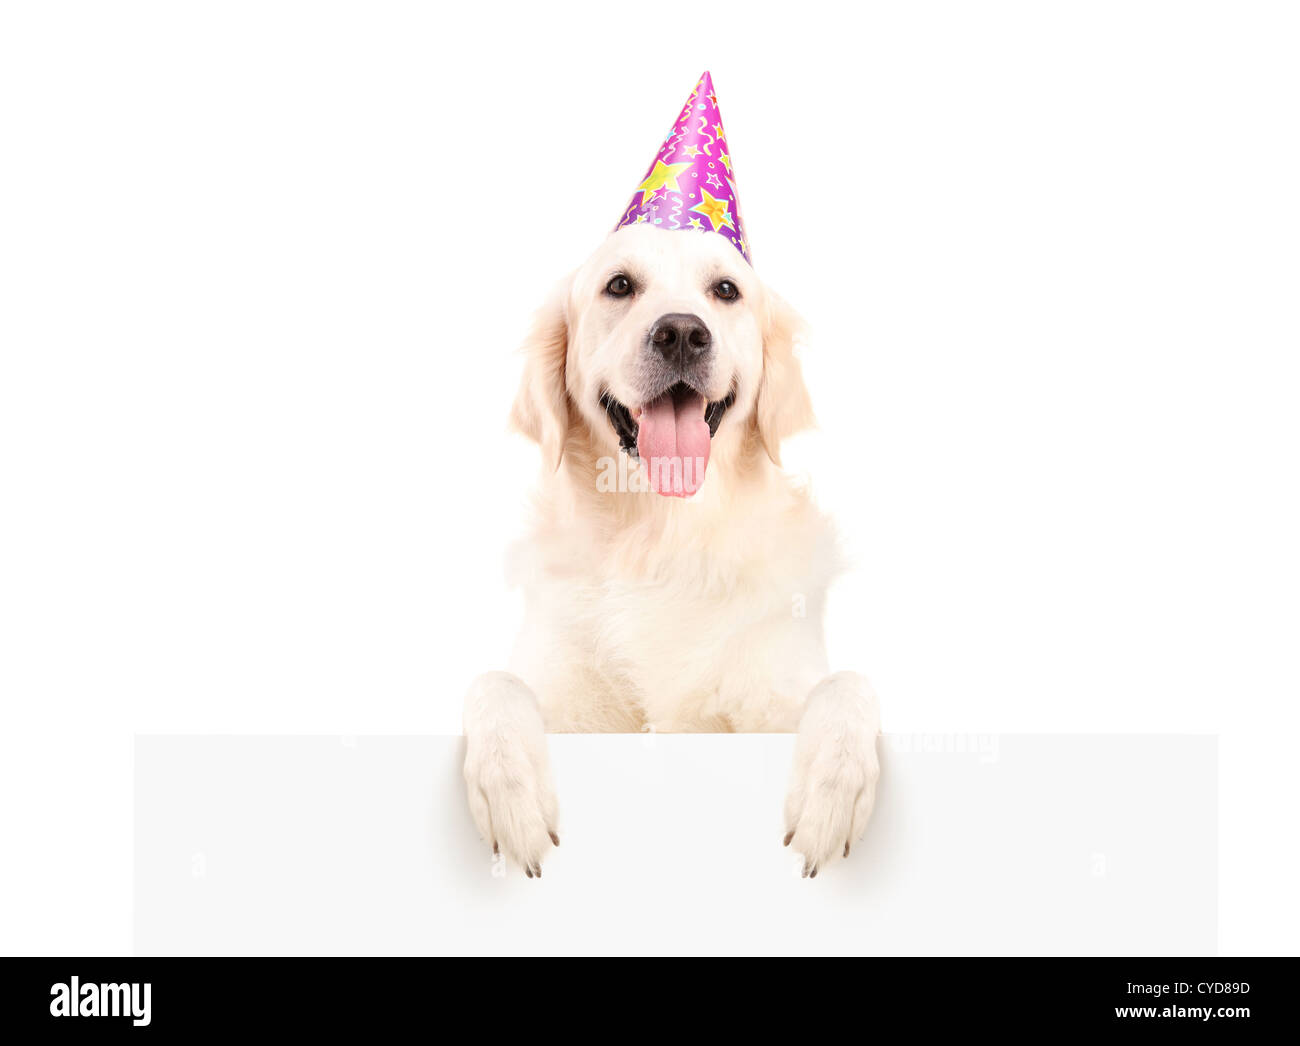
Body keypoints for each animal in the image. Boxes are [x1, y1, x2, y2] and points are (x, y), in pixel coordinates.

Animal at [462, 224, 878, 878]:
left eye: (726, 290)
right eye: (619, 285)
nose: (681, 333)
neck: (662, 538)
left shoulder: (775, 696)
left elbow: (850, 685)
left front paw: (832, 792)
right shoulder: (565, 700)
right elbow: (493, 683)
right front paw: (511, 794)